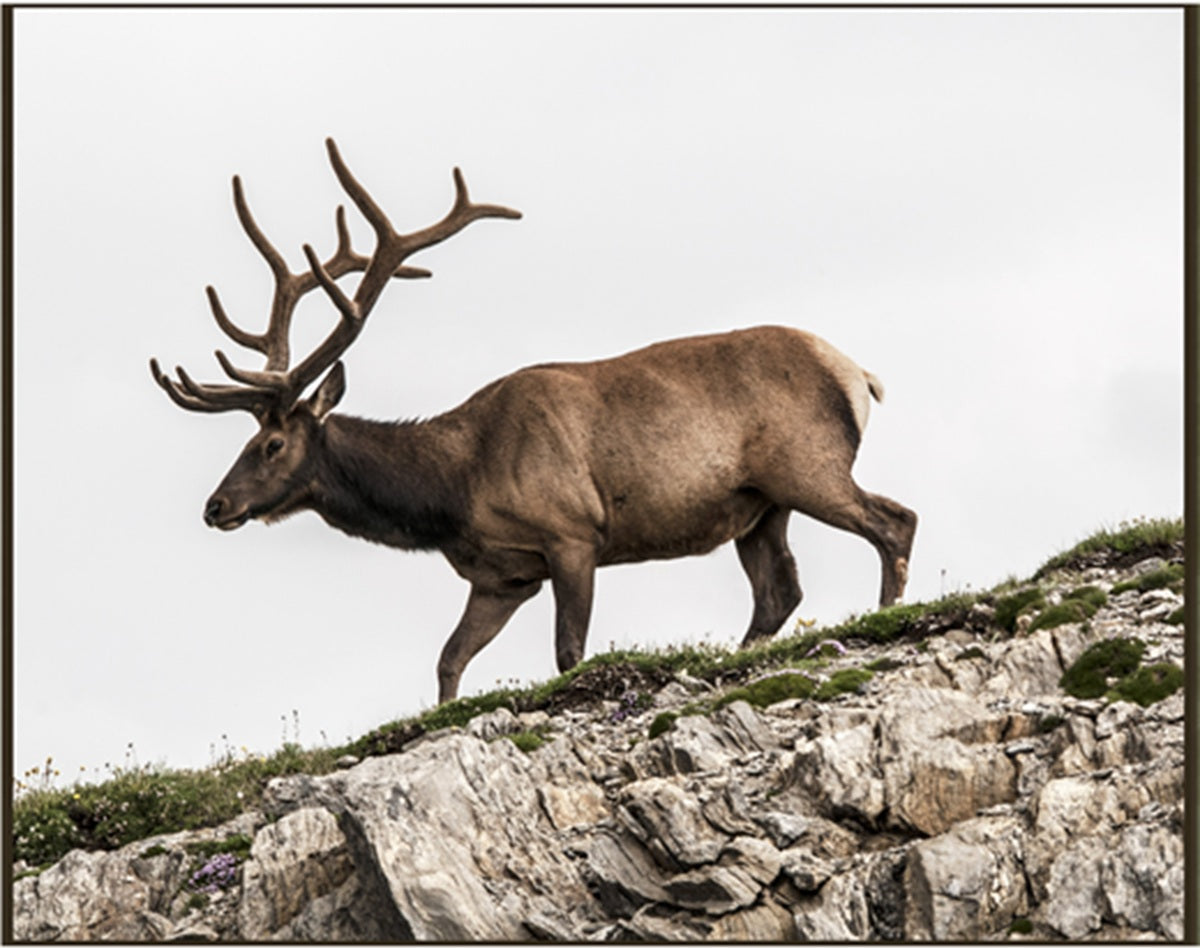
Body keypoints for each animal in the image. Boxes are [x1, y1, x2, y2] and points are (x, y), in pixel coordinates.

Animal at [151, 139, 918, 704]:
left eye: (272, 442)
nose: (216, 506)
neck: (454, 489)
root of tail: (859, 375)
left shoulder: (572, 532)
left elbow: (568, 652)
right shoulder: (502, 575)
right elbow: (448, 661)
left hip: (806, 465)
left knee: (893, 521)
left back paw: (886, 616)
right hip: (759, 506)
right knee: (779, 590)